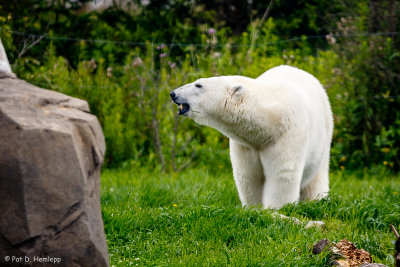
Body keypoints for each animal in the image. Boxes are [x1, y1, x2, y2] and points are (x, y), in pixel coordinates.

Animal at [170, 65, 332, 209]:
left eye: (198, 85)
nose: (173, 93)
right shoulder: (246, 143)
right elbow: (248, 175)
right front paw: (254, 207)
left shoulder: (288, 133)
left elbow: (282, 173)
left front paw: (276, 209)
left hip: (323, 140)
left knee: (316, 178)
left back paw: (316, 200)